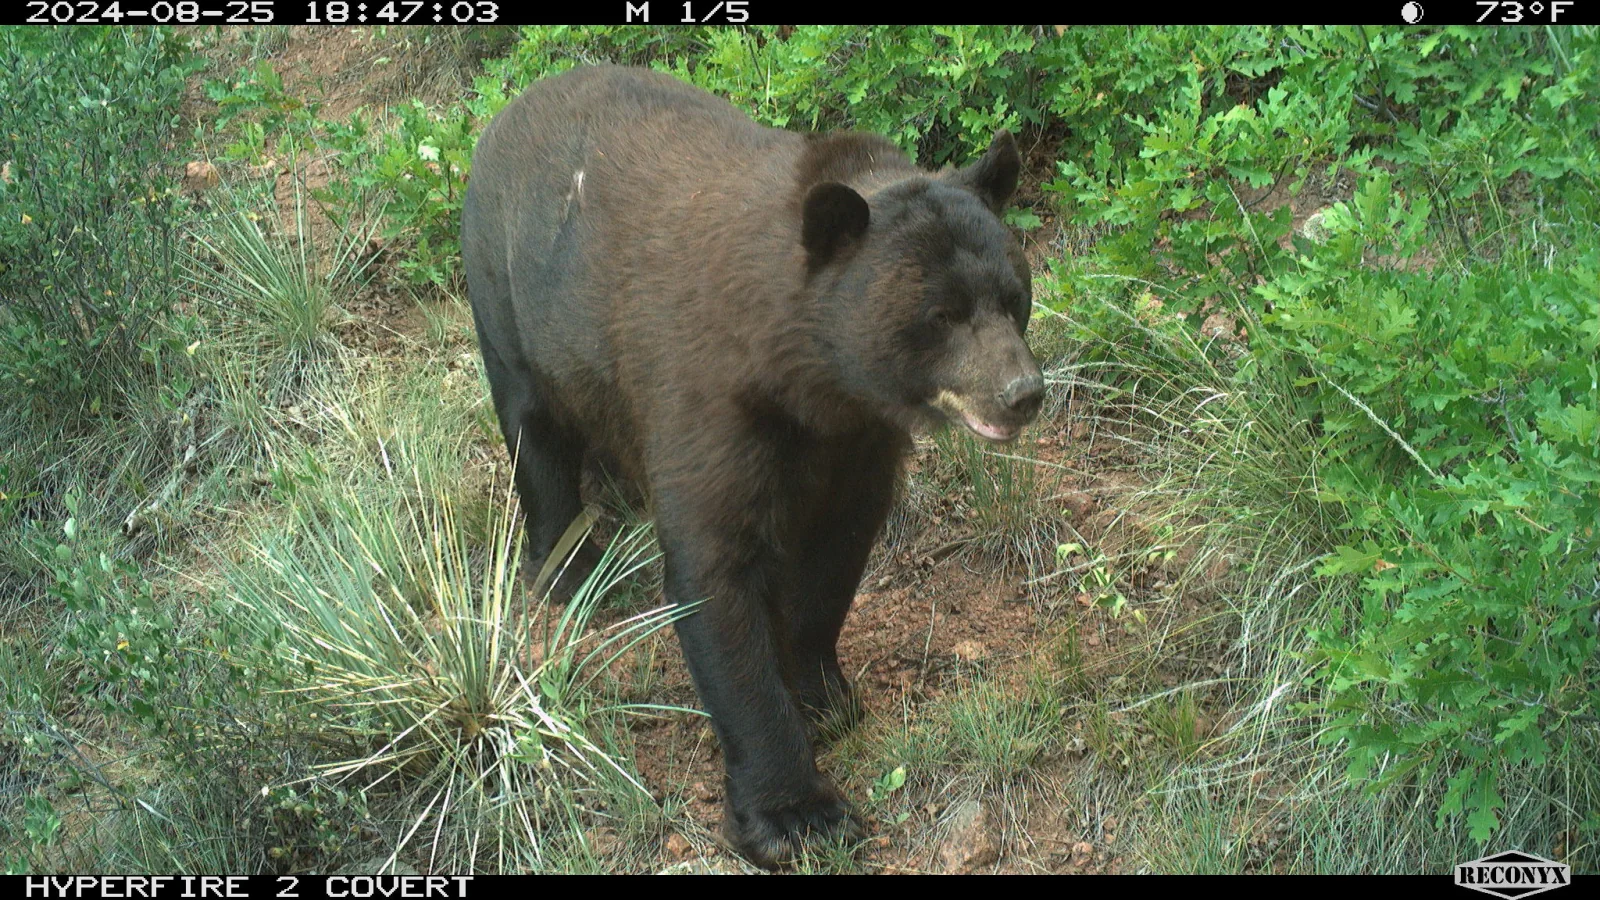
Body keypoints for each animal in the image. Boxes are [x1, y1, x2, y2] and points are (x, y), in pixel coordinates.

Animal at [462, 65, 1044, 867]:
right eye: (942, 314)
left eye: (1014, 298)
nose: (1023, 392)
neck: (808, 378)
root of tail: (510, 107)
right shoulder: (709, 400)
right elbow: (718, 573)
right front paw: (795, 812)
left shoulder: (854, 441)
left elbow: (835, 553)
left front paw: (824, 695)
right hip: (510, 293)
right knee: (534, 428)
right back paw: (569, 565)